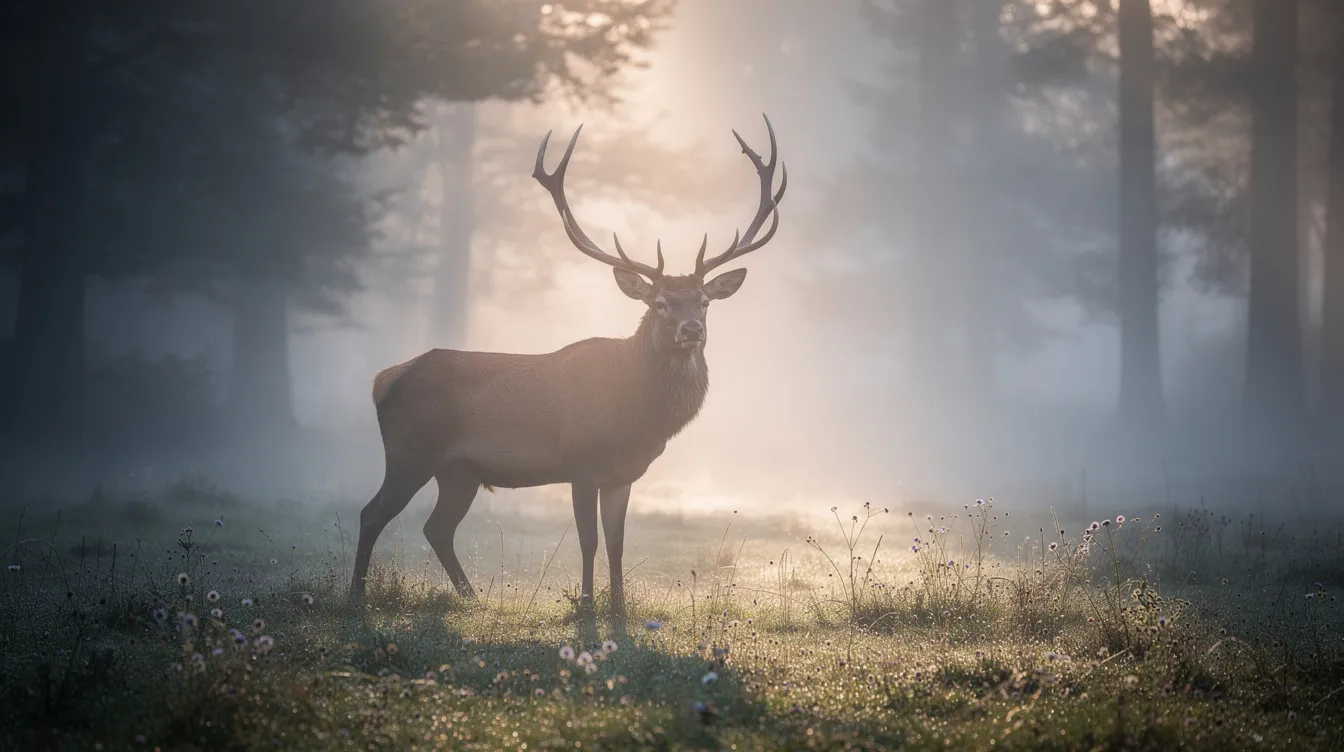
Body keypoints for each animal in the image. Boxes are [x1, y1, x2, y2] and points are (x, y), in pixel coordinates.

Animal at [349, 114, 787, 621]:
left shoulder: (623, 475)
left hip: (460, 470)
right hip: (410, 452)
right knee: (372, 513)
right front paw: (587, 605)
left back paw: (472, 599)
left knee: (436, 528)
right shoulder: (581, 462)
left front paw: (619, 606)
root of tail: (383, 380)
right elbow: (589, 541)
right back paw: (356, 596)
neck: (636, 416)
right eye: (659, 303)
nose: (692, 329)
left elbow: (617, 543)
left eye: (704, 301)